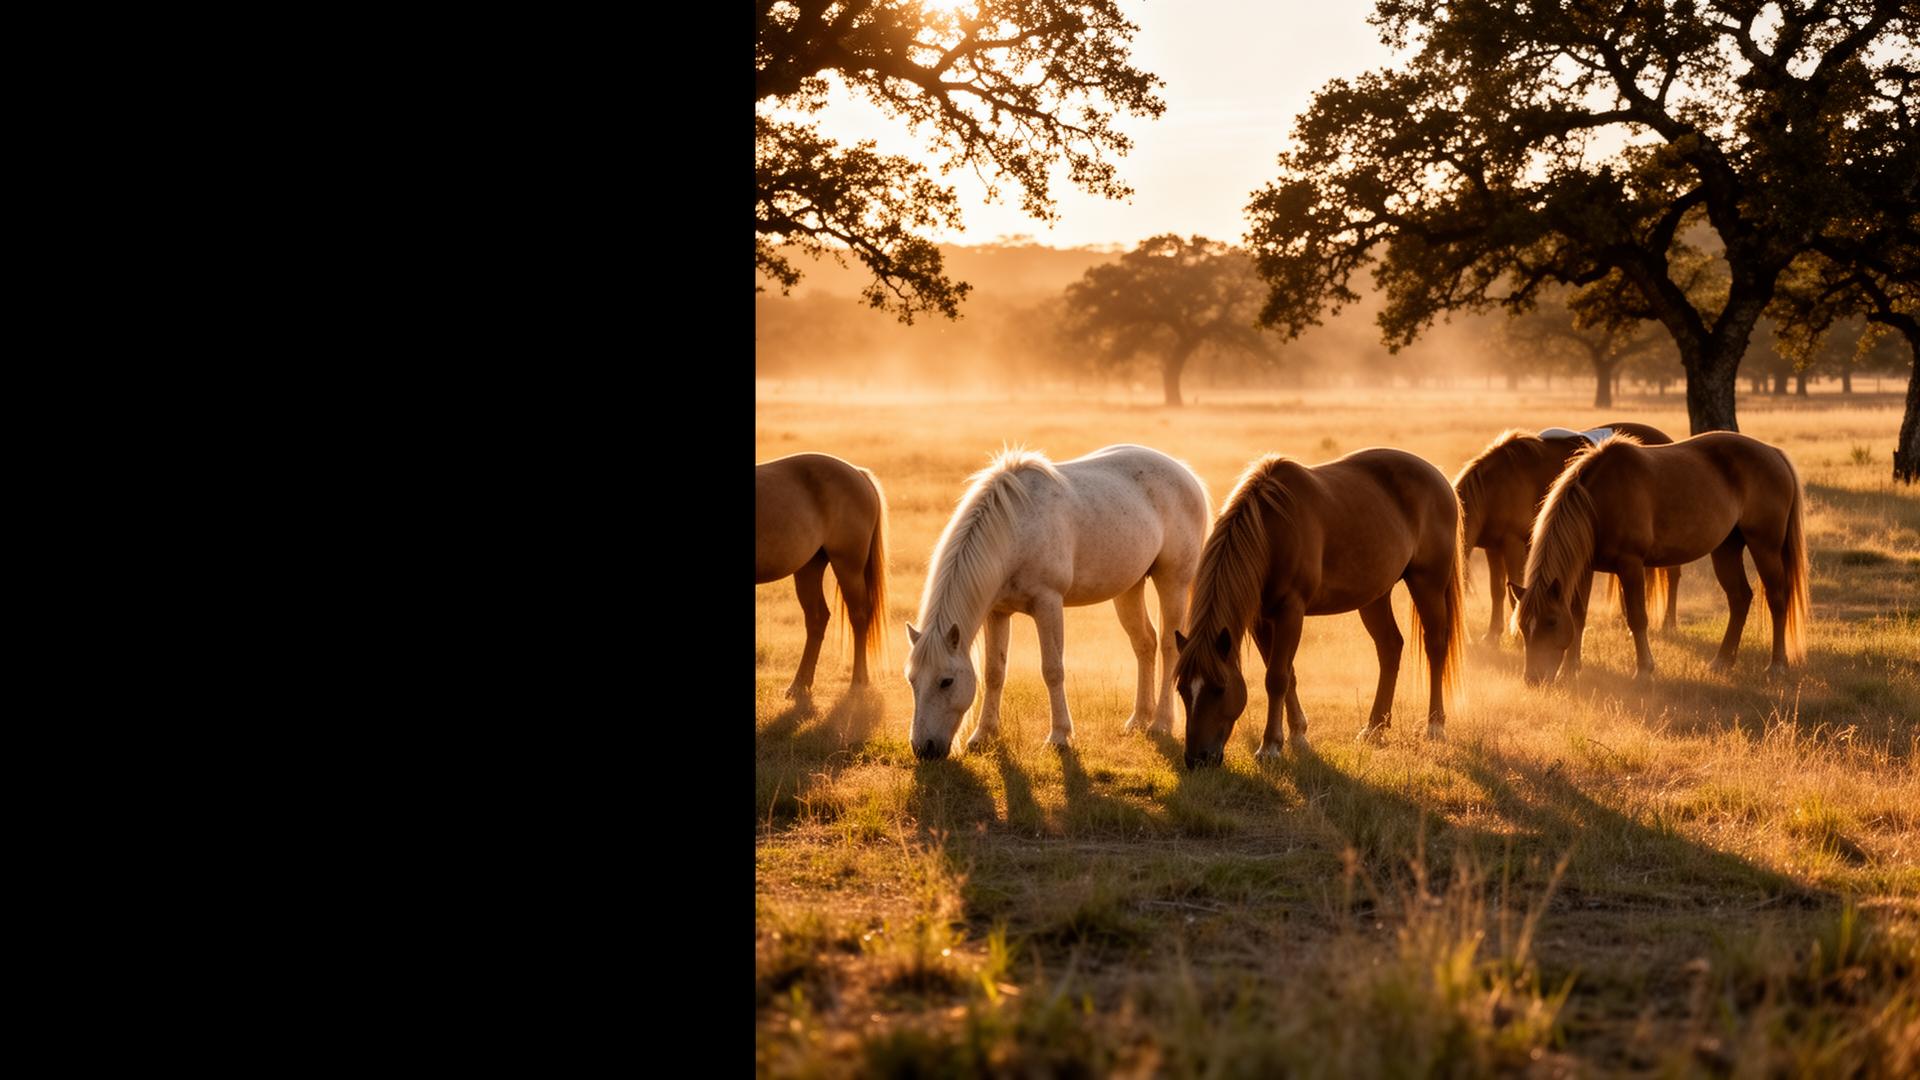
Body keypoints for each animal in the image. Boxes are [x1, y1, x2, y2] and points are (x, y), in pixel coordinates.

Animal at [755, 452, 889, 704]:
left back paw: (858, 682)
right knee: (817, 618)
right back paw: (800, 686)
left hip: (848, 566)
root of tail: (858, 473)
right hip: (809, 567)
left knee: (859, 616)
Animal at [905, 445, 1209, 761]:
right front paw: (983, 735)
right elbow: (994, 672)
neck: (1014, 528)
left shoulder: (1047, 604)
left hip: (1173, 582)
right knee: (1144, 643)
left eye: (946, 681)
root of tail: (1186, 474)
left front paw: (1059, 736)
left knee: (1168, 646)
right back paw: (1138, 719)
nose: (923, 749)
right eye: (912, 680)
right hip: (1130, 587)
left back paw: (1161, 723)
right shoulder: (998, 613)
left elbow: (1052, 670)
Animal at [1172, 448, 1466, 769]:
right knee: (1390, 648)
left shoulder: (1290, 611)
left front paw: (1270, 746)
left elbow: (1276, 678)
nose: (1196, 759)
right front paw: (1298, 734)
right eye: (1182, 689)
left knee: (1435, 645)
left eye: (1219, 687)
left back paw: (1435, 726)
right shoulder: (1262, 619)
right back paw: (1374, 727)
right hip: (1375, 597)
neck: (1272, 532)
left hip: (1428, 583)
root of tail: (1438, 477)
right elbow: (1287, 675)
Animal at [1453, 422, 1681, 648]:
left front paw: (1517, 637)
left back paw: (1668, 624)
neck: (1495, 486)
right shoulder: (1493, 548)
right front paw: (1493, 635)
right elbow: (1497, 590)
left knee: (1673, 575)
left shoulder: (1513, 544)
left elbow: (1512, 593)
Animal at [1511, 432, 1808, 684]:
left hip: (1765, 546)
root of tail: (1773, 452)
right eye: (1524, 626)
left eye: (1550, 622)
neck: (1600, 502)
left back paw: (1777, 665)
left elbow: (1637, 618)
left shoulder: (1630, 566)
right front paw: (1570, 670)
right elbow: (1578, 615)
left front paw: (1644, 670)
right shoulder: (1584, 568)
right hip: (1726, 549)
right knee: (1739, 598)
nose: (1533, 679)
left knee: (1777, 599)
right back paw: (1722, 661)